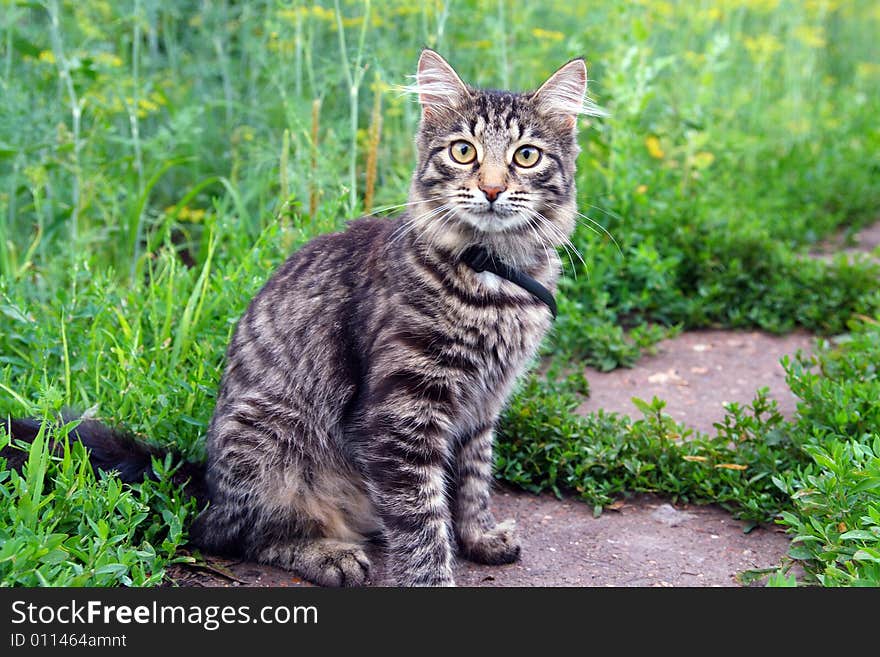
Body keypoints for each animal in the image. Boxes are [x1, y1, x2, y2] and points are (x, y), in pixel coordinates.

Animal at [3, 50, 592, 584]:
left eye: (526, 156)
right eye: (464, 151)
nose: (492, 189)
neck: (495, 278)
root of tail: (203, 480)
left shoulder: (483, 404)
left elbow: (471, 483)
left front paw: (479, 537)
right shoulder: (400, 415)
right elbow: (422, 523)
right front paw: (435, 578)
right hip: (269, 439)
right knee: (241, 535)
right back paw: (329, 557)